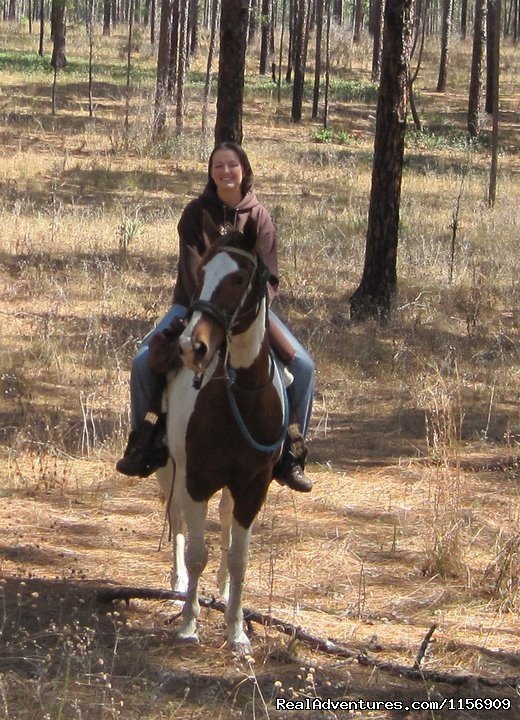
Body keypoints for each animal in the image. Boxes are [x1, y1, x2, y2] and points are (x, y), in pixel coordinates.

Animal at [157, 215, 286, 652]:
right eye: (201, 273)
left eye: (240, 277)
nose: (190, 346)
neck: (241, 396)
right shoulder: (196, 479)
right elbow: (197, 552)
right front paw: (188, 625)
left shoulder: (253, 484)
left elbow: (239, 556)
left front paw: (237, 631)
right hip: (169, 471)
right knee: (176, 521)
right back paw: (178, 585)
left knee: (225, 520)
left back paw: (224, 589)